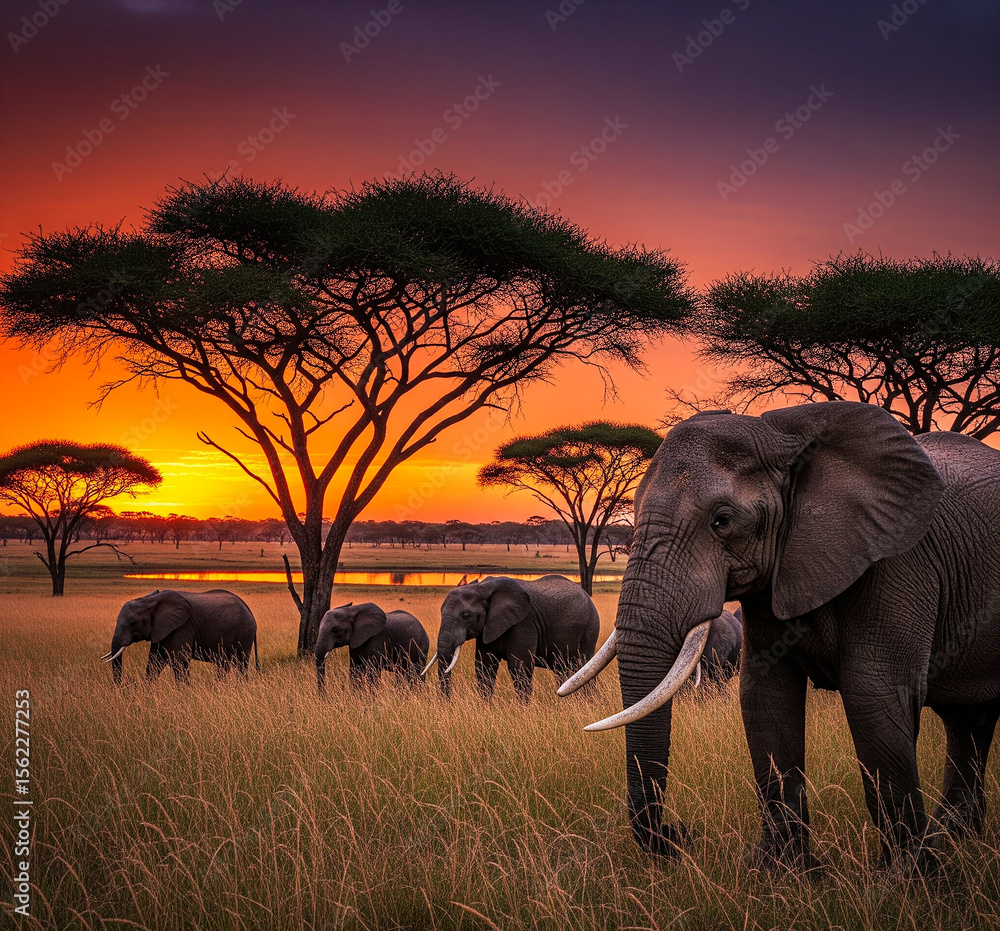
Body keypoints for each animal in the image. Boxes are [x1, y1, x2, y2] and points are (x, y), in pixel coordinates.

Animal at [103, 589, 258, 684]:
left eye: (132, 623)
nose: (122, 687)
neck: (150, 600)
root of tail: (248, 609)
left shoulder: (181, 628)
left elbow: (179, 661)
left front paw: (184, 693)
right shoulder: (161, 631)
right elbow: (155, 661)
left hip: (244, 633)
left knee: (240, 663)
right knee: (223, 663)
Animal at [426, 575, 600, 701]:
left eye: (466, 616)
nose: (447, 703)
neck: (482, 588)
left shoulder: (523, 623)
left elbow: (519, 667)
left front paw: (523, 710)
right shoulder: (487, 628)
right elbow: (484, 666)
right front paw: (486, 708)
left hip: (590, 627)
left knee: (585, 665)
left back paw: (588, 702)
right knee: (561, 669)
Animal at [560, 401, 1000, 872]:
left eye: (722, 521)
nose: (681, 835)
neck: (784, 433)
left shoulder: (899, 560)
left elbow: (874, 697)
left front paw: (904, 879)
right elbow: (765, 698)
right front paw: (783, 872)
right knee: (968, 719)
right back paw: (953, 836)